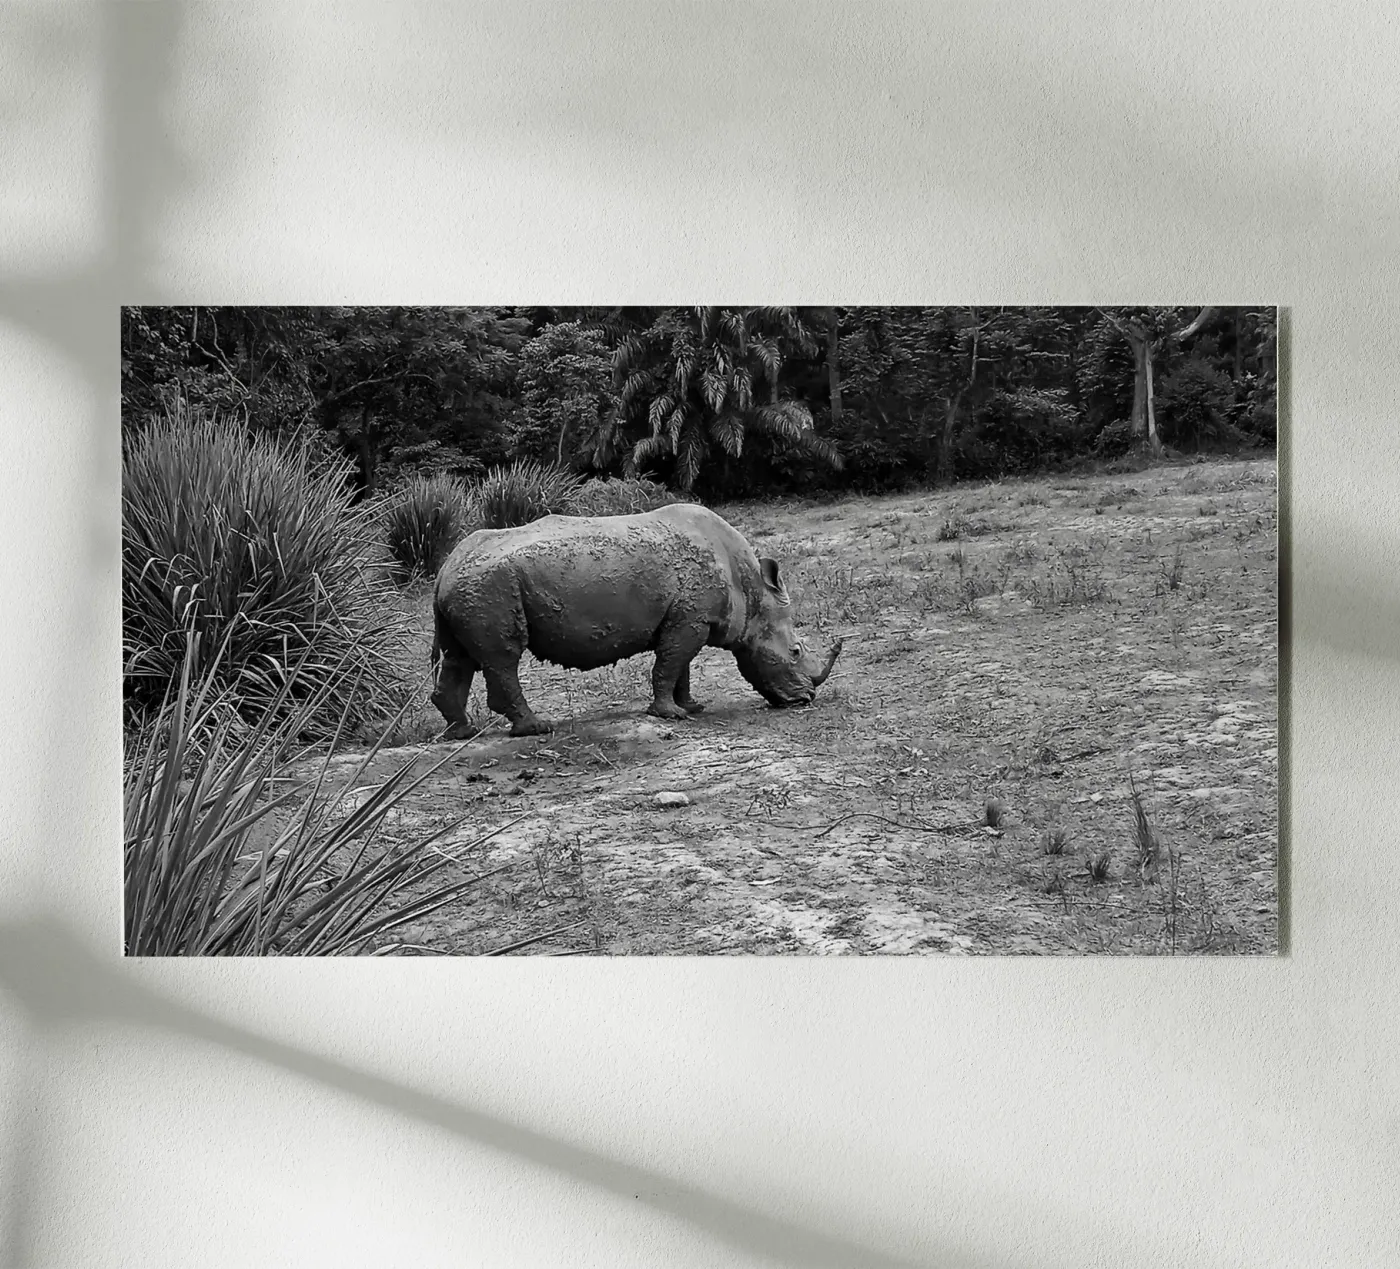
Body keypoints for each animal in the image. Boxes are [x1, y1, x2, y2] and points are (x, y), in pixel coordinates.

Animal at [429, 503, 842, 737]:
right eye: (794, 652)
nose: (805, 699)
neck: (753, 592)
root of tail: (444, 570)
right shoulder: (689, 620)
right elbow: (670, 664)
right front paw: (671, 715)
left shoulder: (687, 618)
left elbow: (680, 667)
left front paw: (691, 707)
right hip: (490, 586)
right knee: (503, 658)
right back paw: (536, 729)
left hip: (471, 587)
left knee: (460, 657)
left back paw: (462, 733)